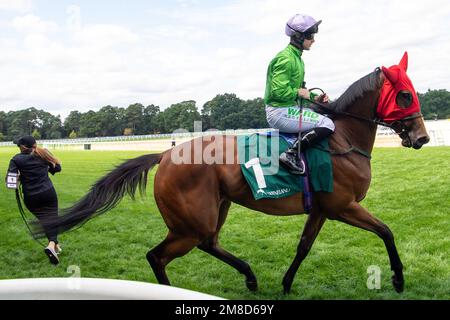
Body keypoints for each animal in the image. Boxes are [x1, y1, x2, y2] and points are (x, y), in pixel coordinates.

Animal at [35, 52, 428, 296]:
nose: (422, 137)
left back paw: (251, 278)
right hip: (190, 224)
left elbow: (303, 247)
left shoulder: (320, 209)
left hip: (212, 211)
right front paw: (398, 279)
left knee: (208, 244)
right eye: (405, 96)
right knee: (159, 256)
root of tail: (166, 153)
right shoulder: (343, 206)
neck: (342, 139)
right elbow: (386, 231)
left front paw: (286, 284)